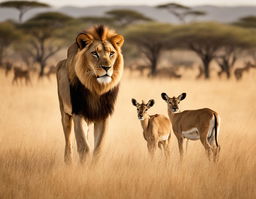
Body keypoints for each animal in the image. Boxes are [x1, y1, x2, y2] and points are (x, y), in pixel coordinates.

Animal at [56, 25, 124, 164]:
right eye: (95, 53)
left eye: (111, 53)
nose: (107, 67)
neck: (96, 89)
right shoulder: (78, 113)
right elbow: (83, 146)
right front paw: (83, 167)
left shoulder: (103, 115)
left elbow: (99, 147)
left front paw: (94, 168)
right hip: (64, 112)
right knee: (68, 140)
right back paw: (68, 162)